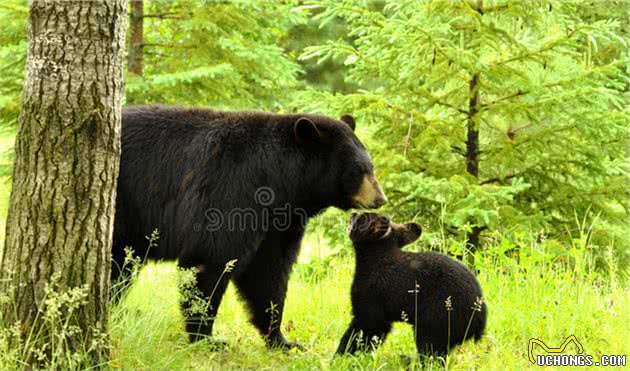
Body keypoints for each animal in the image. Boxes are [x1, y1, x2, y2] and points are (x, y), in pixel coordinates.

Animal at [115, 106, 388, 350]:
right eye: (358, 171)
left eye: (371, 166)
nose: (381, 199)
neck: (279, 181)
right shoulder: (230, 189)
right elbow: (211, 257)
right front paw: (206, 338)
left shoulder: (279, 221)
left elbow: (268, 272)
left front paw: (282, 340)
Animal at [336, 214, 488, 356]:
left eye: (360, 218)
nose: (352, 213)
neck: (377, 257)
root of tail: (480, 318)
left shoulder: (371, 295)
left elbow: (366, 327)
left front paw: (343, 355)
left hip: (439, 317)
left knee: (431, 348)